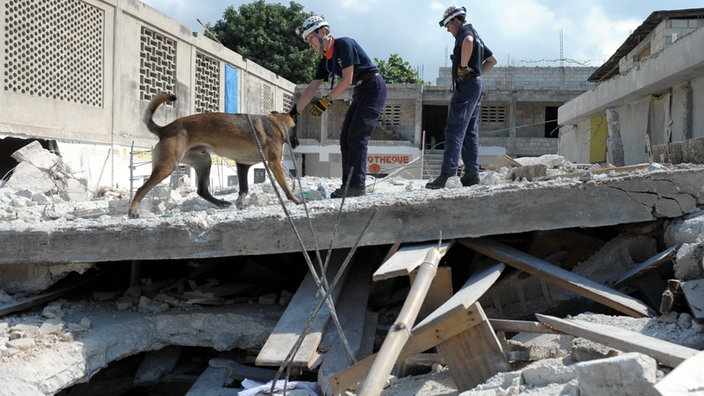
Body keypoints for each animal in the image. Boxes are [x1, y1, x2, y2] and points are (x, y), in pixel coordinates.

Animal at [129, 91, 300, 218]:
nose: (298, 143)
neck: (277, 123)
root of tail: (165, 128)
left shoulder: (242, 165)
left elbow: (244, 189)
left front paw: (240, 203)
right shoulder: (274, 163)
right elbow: (285, 186)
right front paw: (296, 200)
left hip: (204, 161)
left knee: (202, 190)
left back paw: (221, 203)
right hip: (168, 166)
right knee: (140, 189)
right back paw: (133, 211)